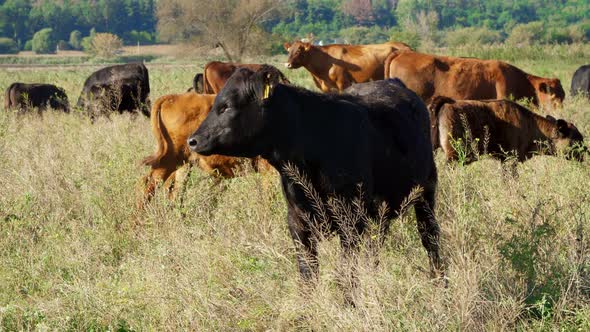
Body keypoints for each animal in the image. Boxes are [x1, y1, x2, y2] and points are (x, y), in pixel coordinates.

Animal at [188, 68, 444, 286]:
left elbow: (345, 273)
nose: (193, 140)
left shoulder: (350, 221)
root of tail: (394, 82)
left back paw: (440, 282)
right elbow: (308, 273)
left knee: (430, 237)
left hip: (426, 192)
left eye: (227, 106)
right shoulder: (297, 221)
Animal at [430, 96, 588, 163]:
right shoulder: (510, 160)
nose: (585, 150)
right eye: (576, 139)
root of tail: (448, 103)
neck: (530, 124)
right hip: (454, 156)